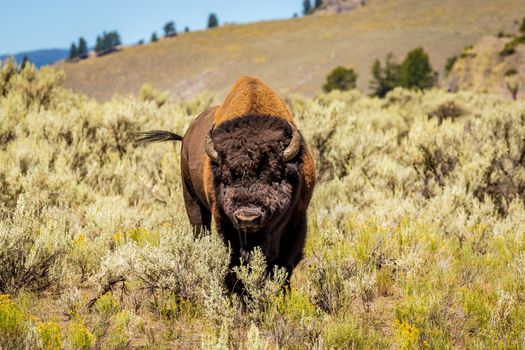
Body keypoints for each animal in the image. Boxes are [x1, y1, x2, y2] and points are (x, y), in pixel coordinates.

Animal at [137, 77, 314, 290]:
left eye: (275, 177)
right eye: (227, 178)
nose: (248, 218)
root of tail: (187, 135)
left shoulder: (297, 219)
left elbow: (284, 264)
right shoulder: (225, 222)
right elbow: (235, 261)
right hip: (191, 199)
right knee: (200, 231)